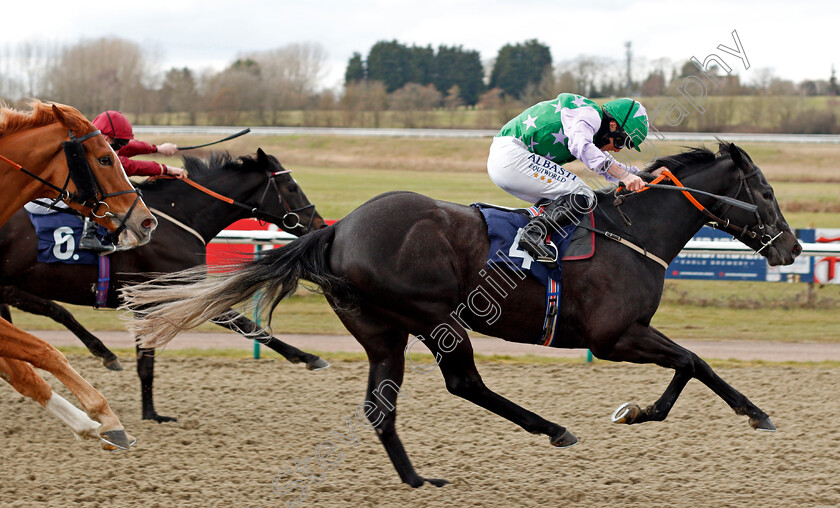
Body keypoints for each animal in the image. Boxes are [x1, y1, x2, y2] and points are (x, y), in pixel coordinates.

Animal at [0, 101, 157, 450]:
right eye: (105, 158)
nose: (146, 221)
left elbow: (25, 373)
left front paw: (97, 425)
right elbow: (45, 352)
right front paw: (105, 417)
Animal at [121, 143, 796, 484]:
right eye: (765, 192)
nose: (790, 248)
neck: (634, 233)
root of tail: (334, 232)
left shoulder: (625, 335)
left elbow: (690, 363)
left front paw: (644, 411)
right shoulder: (616, 335)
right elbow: (694, 362)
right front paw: (744, 413)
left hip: (383, 331)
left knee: (383, 406)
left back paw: (418, 481)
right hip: (433, 316)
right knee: (463, 381)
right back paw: (552, 428)